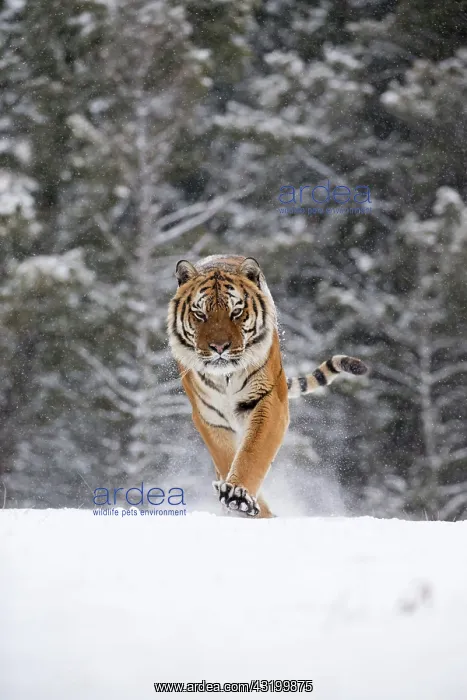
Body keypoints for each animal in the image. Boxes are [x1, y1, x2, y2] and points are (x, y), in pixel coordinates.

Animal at [167, 254, 368, 518]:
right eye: (200, 314)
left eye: (236, 312)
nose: (219, 347)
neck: (226, 377)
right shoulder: (209, 418)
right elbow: (226, 457)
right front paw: (244, 504)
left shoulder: (269, 400)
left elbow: (252, 453)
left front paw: (238, 496)